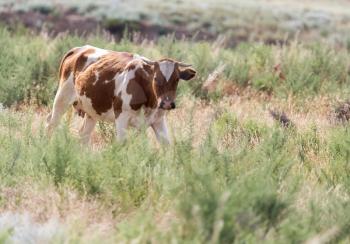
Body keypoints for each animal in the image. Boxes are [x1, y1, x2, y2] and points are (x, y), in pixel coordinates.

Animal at [45, 45, 197, 144]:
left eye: (176, 79)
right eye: (155, 78)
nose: (166, 103)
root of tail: (78, 49)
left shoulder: (159, 121)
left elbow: (167, 146)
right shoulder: (121, 117)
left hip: (91, 110)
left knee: (84, 135)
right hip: (62, 98)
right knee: (51, 124)